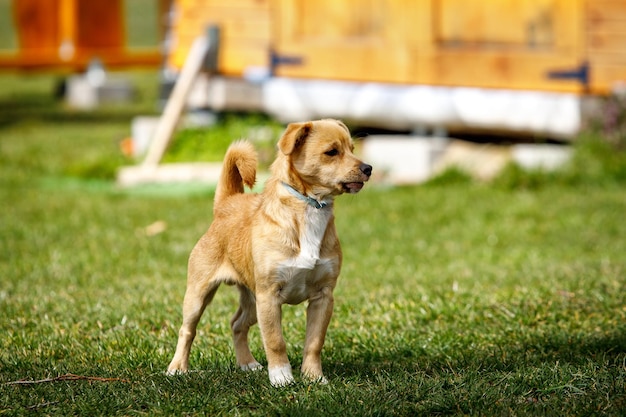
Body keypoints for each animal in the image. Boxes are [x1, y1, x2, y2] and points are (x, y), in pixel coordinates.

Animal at [166, 118, 370, 386]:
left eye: (352, 150)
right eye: (331, 152)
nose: (368, 168)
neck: (309, 208)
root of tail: (226, 204)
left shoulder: (323, 297)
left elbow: (314, 343)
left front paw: (313, 377)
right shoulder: (269, 297)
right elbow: (275, 341)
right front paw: (282, 377)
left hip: (252, 301)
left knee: (237, 324)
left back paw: (247, 363)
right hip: (200, 295)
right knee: (187, 329)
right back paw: (177, 367)